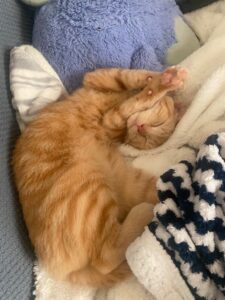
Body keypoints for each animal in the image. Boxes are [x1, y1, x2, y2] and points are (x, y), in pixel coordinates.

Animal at [12, 67, 186, 288]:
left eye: (146, 139)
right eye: (157, 124)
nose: (140, 128)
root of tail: (64, 273)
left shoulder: (111, 119)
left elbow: (138, 98)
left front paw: (159, 85)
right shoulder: (95, 80)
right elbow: (127, 77)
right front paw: (166, 78)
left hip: (91, 190)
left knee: (104, 258)